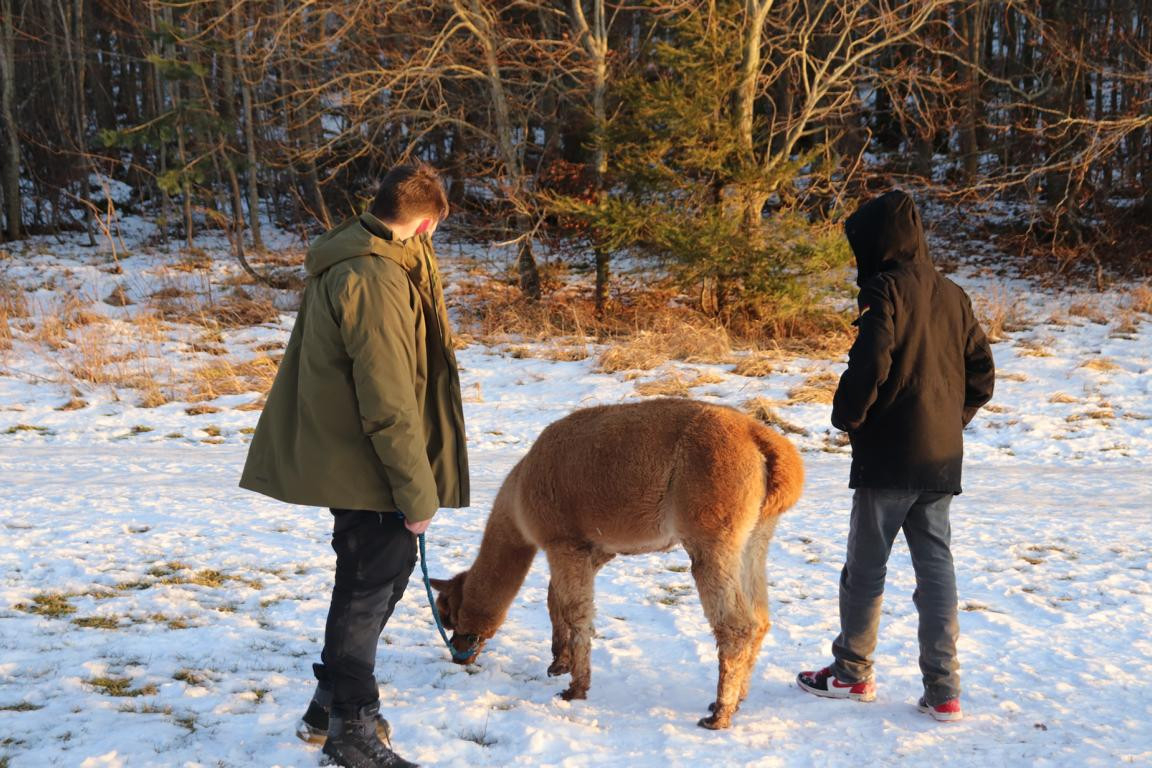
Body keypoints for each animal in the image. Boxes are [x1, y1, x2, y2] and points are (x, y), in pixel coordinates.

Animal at [429, 398, 804, 729]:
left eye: (448, 614)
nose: (459, 654)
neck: (519, 495)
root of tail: (762, 439)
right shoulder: (595, 548)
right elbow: (556, 601)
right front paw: (559, 662)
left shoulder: (564, 542)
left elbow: (575, 612)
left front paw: (575, 688)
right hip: (755, 535)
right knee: (760, 619)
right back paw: (737, 700)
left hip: (712, 530)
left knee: (737, 624)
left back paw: (720, 714)